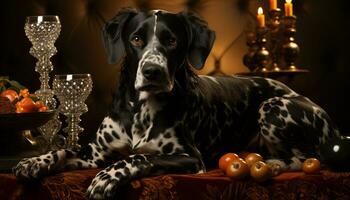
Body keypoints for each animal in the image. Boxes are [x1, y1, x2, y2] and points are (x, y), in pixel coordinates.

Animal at [14, 8, 340, 199]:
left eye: (172, 41)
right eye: (136, 39)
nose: (152, 71)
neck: (140, 111)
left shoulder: (189, 159)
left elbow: (139, 157)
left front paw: (109, 176)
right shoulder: (95, 153)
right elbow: (64, 149)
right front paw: (35, 162)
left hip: (272, 106)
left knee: (309, 158)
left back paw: (273, 163)